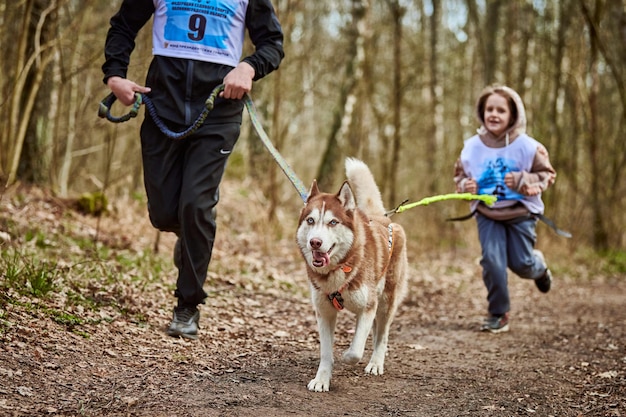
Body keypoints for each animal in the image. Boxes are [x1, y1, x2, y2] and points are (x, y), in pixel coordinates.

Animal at [294, 158, 408, 392]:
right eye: (310, 220)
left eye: (333, 222)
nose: (315, 242)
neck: (338, 270)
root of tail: (381, 217)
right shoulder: (324, 312)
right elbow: (326, 352)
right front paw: (322, 379)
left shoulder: (368, 307)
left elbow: (355, 351)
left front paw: (347, 356)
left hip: (386, 301)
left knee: (382, 334)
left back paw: (376, 362)